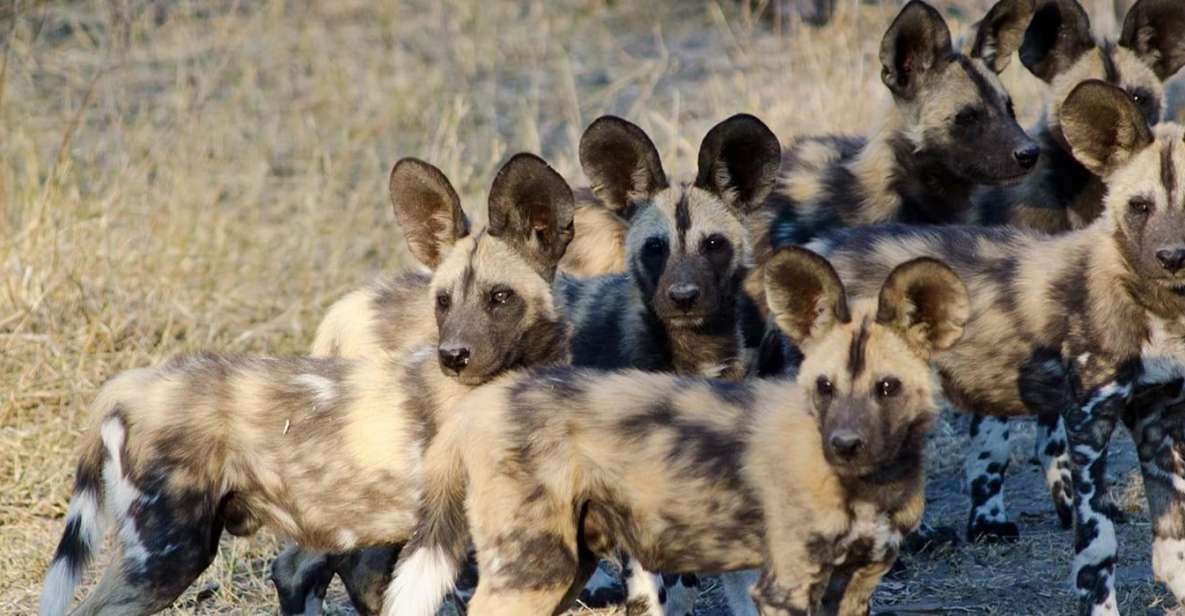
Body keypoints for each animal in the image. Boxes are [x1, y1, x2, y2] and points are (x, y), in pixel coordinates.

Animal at [383, 245, 966, 616]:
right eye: (823, 387)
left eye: (887, 388)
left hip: (566, 566)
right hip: (534, 569)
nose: (844, 445)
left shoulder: (855, 586)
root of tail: (483, 401)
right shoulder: (785, 586)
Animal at [805, 79, 1185, 611]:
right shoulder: (1089, 424)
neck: (1156, 306)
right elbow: (1099, 548)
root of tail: (826, 246)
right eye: (1140, 207)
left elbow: (1174, 546)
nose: (1172, 257)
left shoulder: (1159, 420)